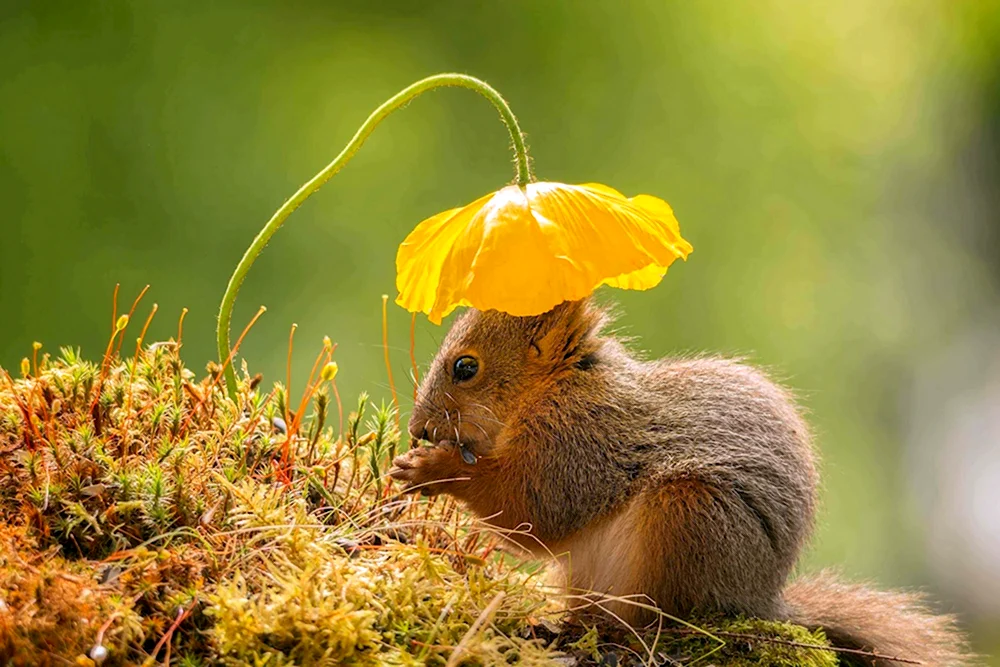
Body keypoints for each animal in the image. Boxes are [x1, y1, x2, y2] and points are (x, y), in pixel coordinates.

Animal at [386, 300, 972, 664]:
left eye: (465, 368)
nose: (418, 429)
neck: (555, 387)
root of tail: (760, 599)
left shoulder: (584, 441)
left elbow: (534, 508)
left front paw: (433, 469)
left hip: (690, 518)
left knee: (667, 618)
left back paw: (625, 631)